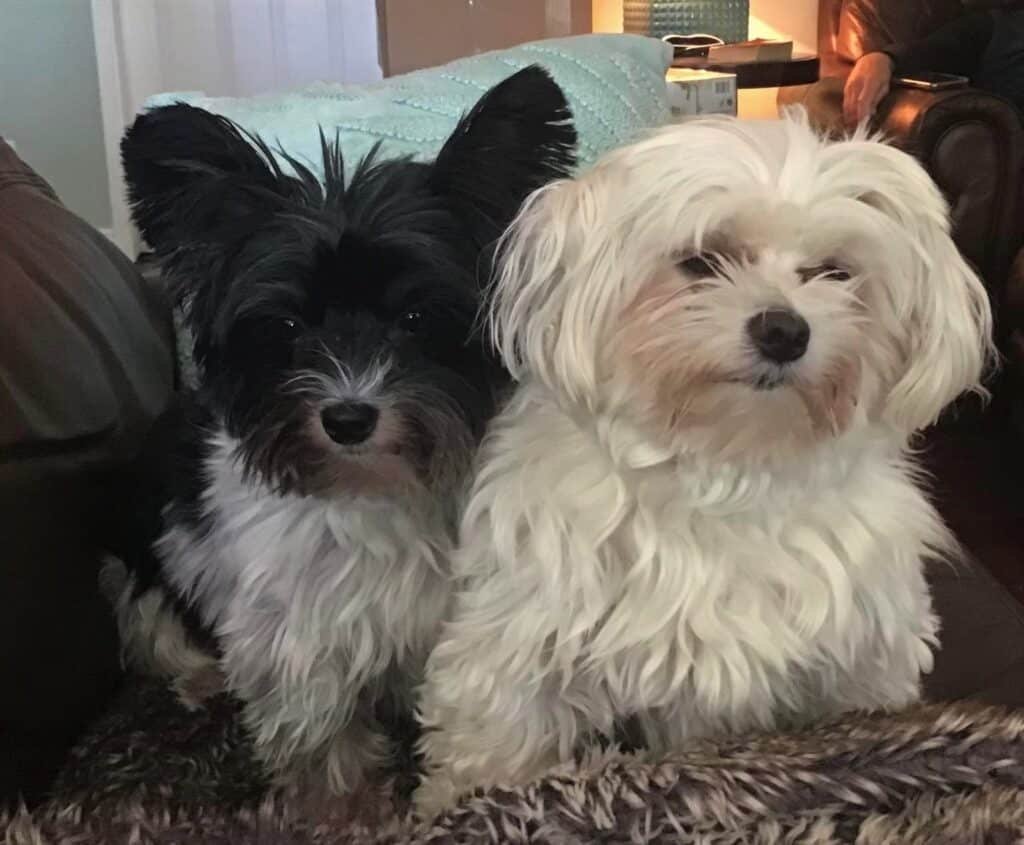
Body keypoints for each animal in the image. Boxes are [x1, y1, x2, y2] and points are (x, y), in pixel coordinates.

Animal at [107, 66, 576, 795]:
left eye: (416, 318)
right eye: (286, 326)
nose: (348, 417)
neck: (368, 488)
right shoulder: (294, 645)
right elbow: (325, 745)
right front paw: (343, 802)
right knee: (153, 624)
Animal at [415, 111, 994, 814]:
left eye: (833, 272)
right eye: (700, 260)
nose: (785, 330)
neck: (727, 464)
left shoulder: (860, 663)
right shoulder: (519, 646)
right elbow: (493, 745)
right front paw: (456, 804)